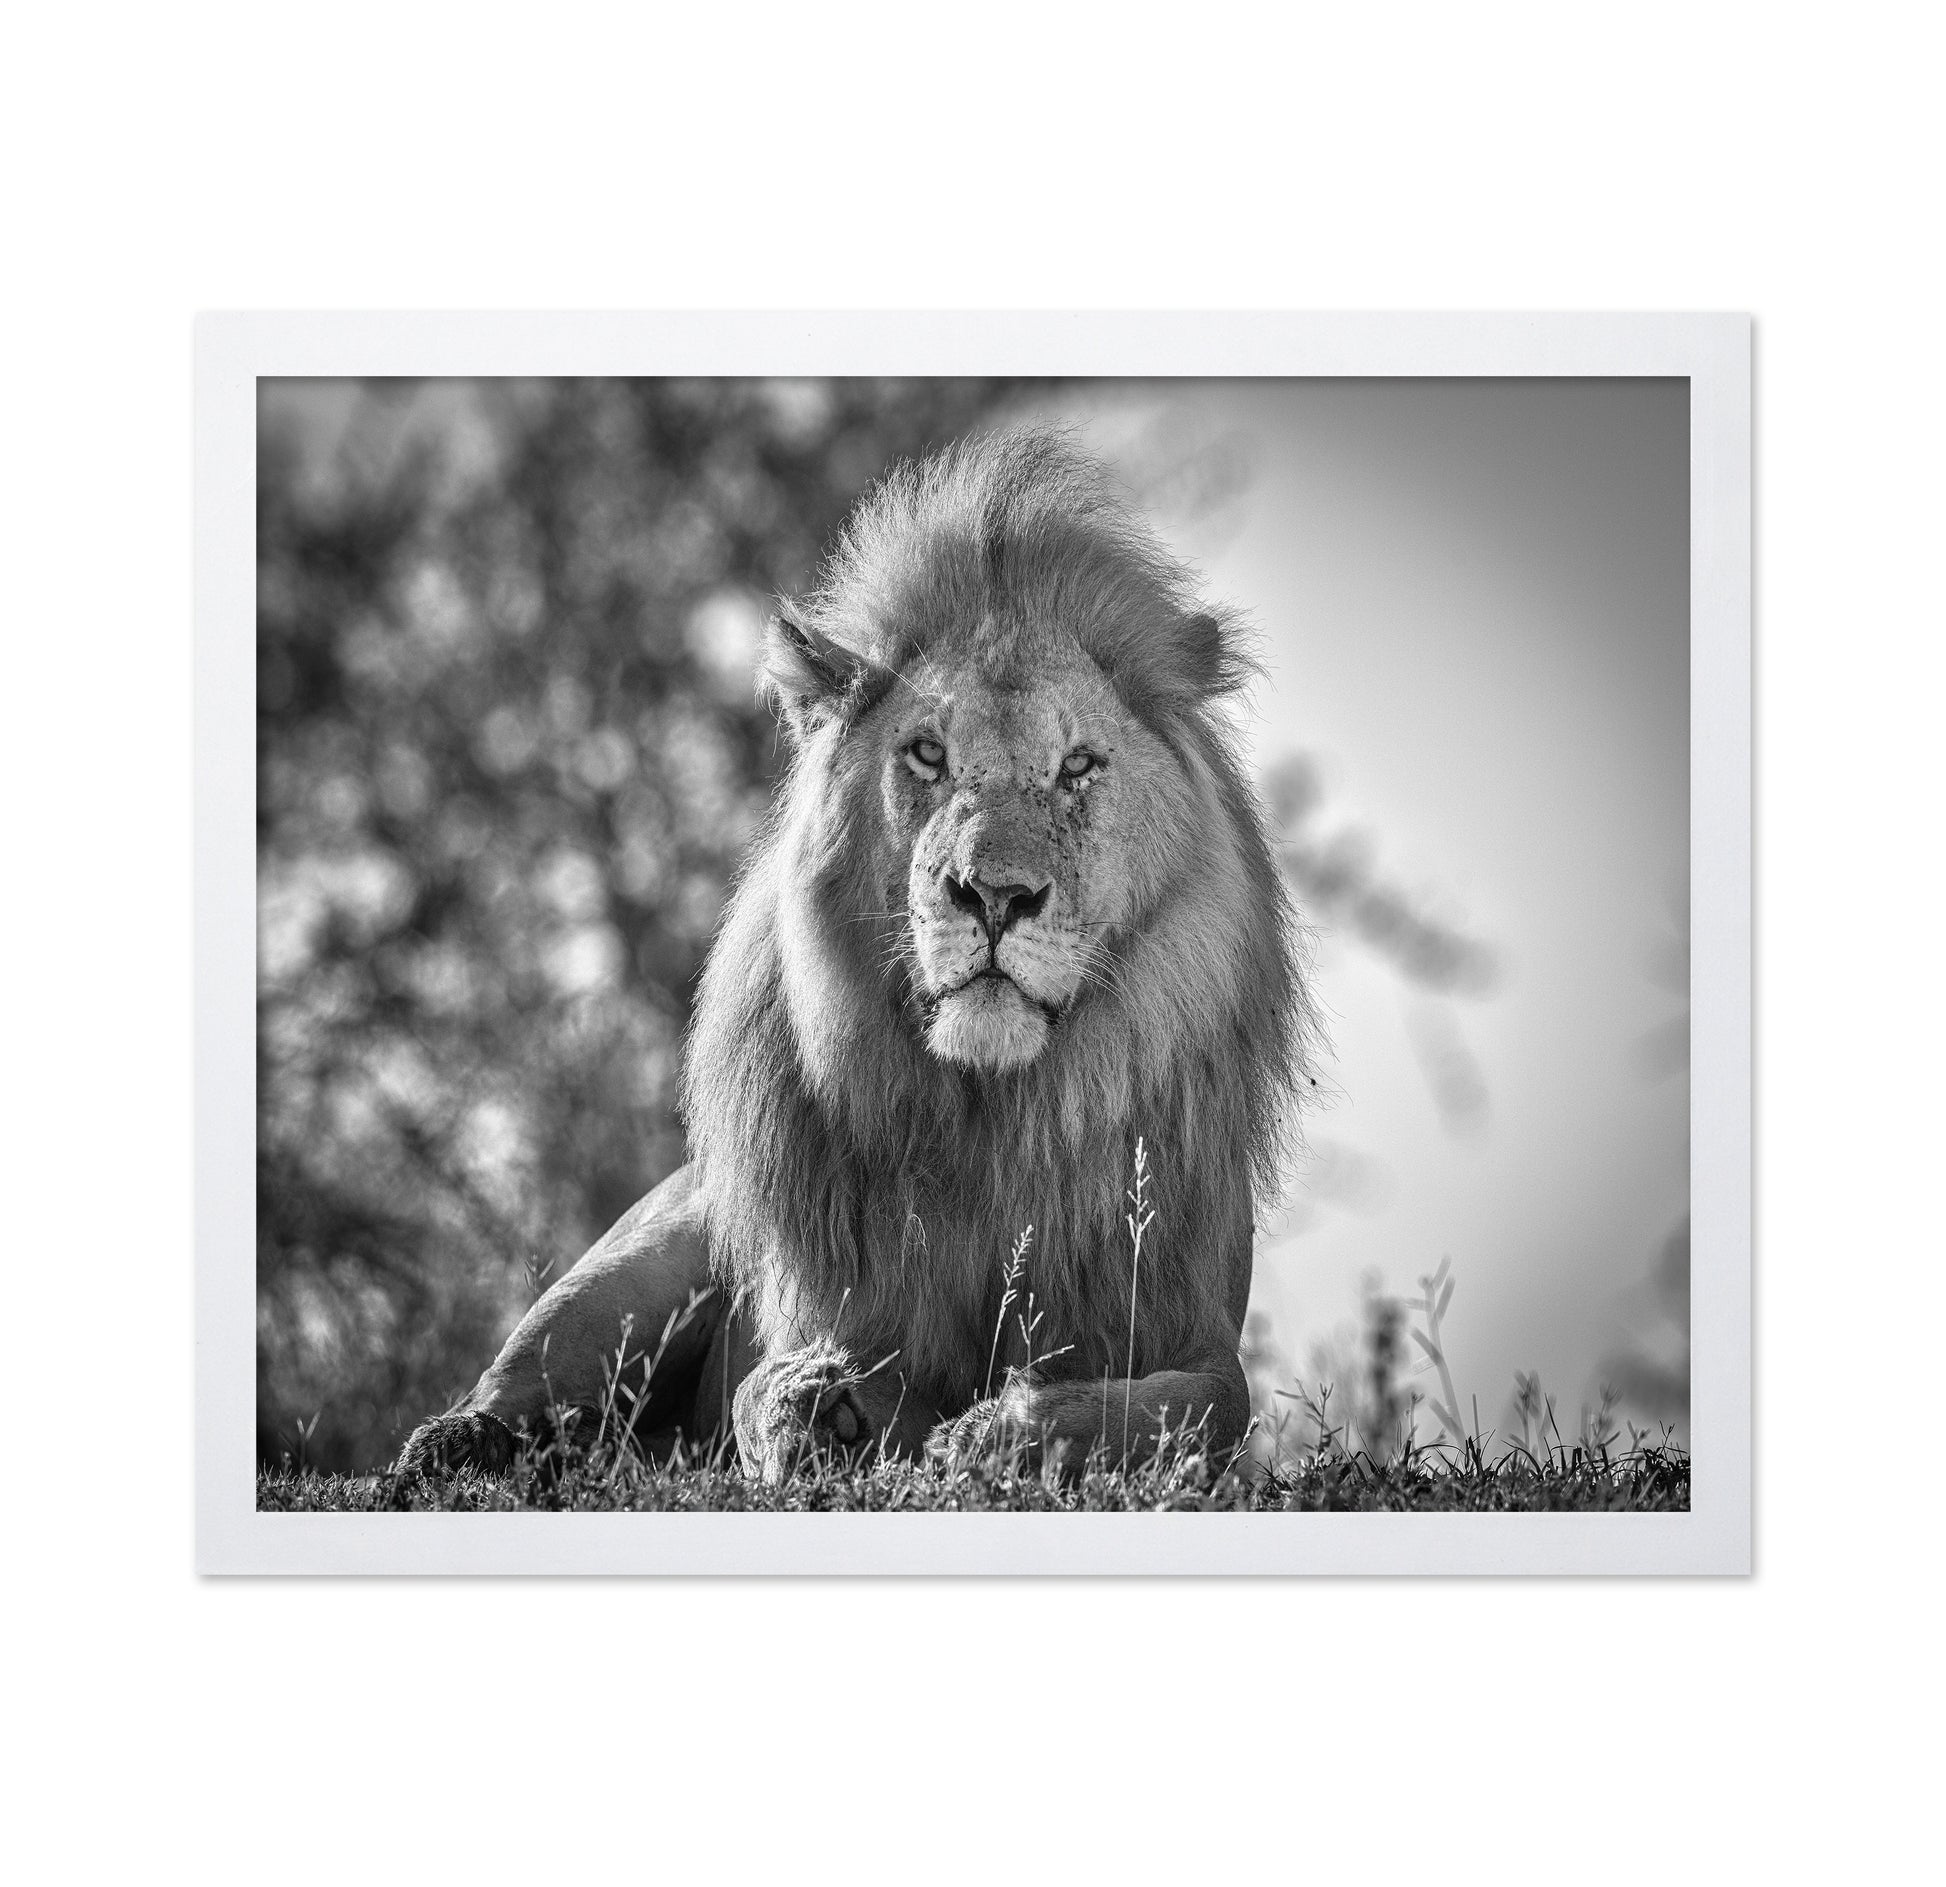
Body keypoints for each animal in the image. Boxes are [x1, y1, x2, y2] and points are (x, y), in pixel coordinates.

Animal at [395, 426, 1311, 1484]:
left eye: (1078, 765)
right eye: (927, 756)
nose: (995, 895)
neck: (997, 1118)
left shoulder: (1196, 1331)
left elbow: (1191, 1410)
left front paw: (1002, 1429)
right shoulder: (819, 1307)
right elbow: (764, 1385)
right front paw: (824, 1407)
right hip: (647, 1255)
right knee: (525, 1386)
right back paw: (455, 1444)